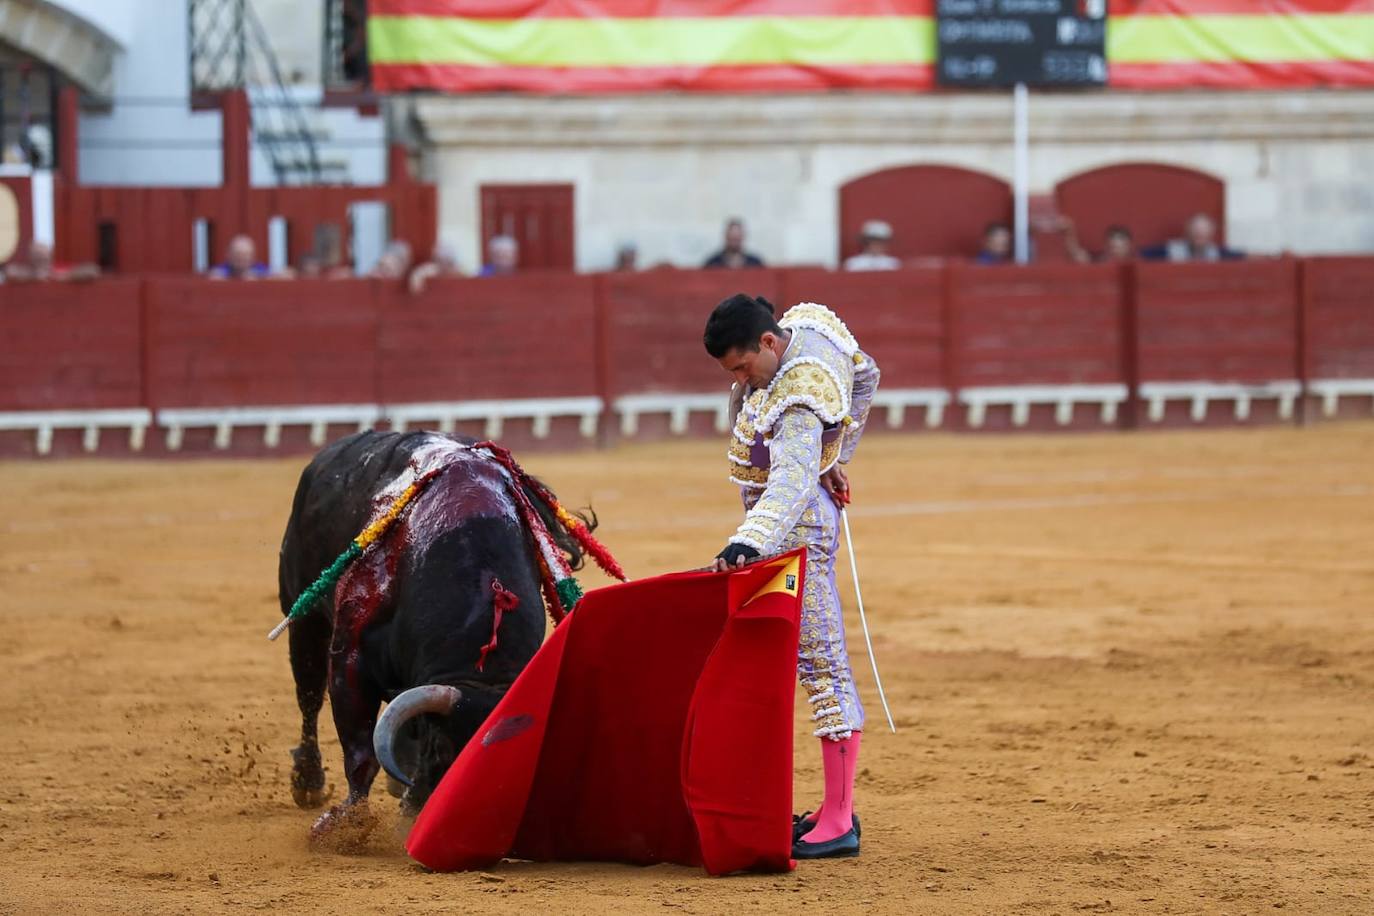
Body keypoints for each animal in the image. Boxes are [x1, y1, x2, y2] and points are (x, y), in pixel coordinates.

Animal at [276, 433, 588, 840]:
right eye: (442, 749)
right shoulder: (350, 655)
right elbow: (360, 751)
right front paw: (345, 825)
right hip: (303, 614)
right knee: (309, 698)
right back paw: (308, 782)